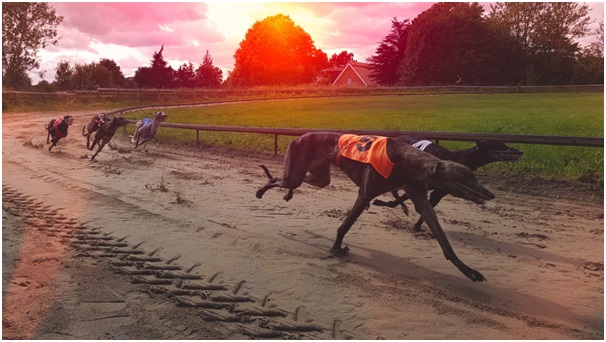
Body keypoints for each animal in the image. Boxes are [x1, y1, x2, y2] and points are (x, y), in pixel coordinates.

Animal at [258, 132, 496, 282]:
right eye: (466, 178)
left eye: (474, 176)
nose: (490, 194)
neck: (407, 161)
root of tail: (298, 137)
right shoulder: (365, 195)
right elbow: (344, 226)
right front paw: (336, 248)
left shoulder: (419, 197)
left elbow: (443, 241)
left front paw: (469, 271)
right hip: (297, 172)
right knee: (281, 180)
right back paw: (262, 191)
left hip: (318, 177)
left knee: (287, 179)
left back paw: (283, 192)